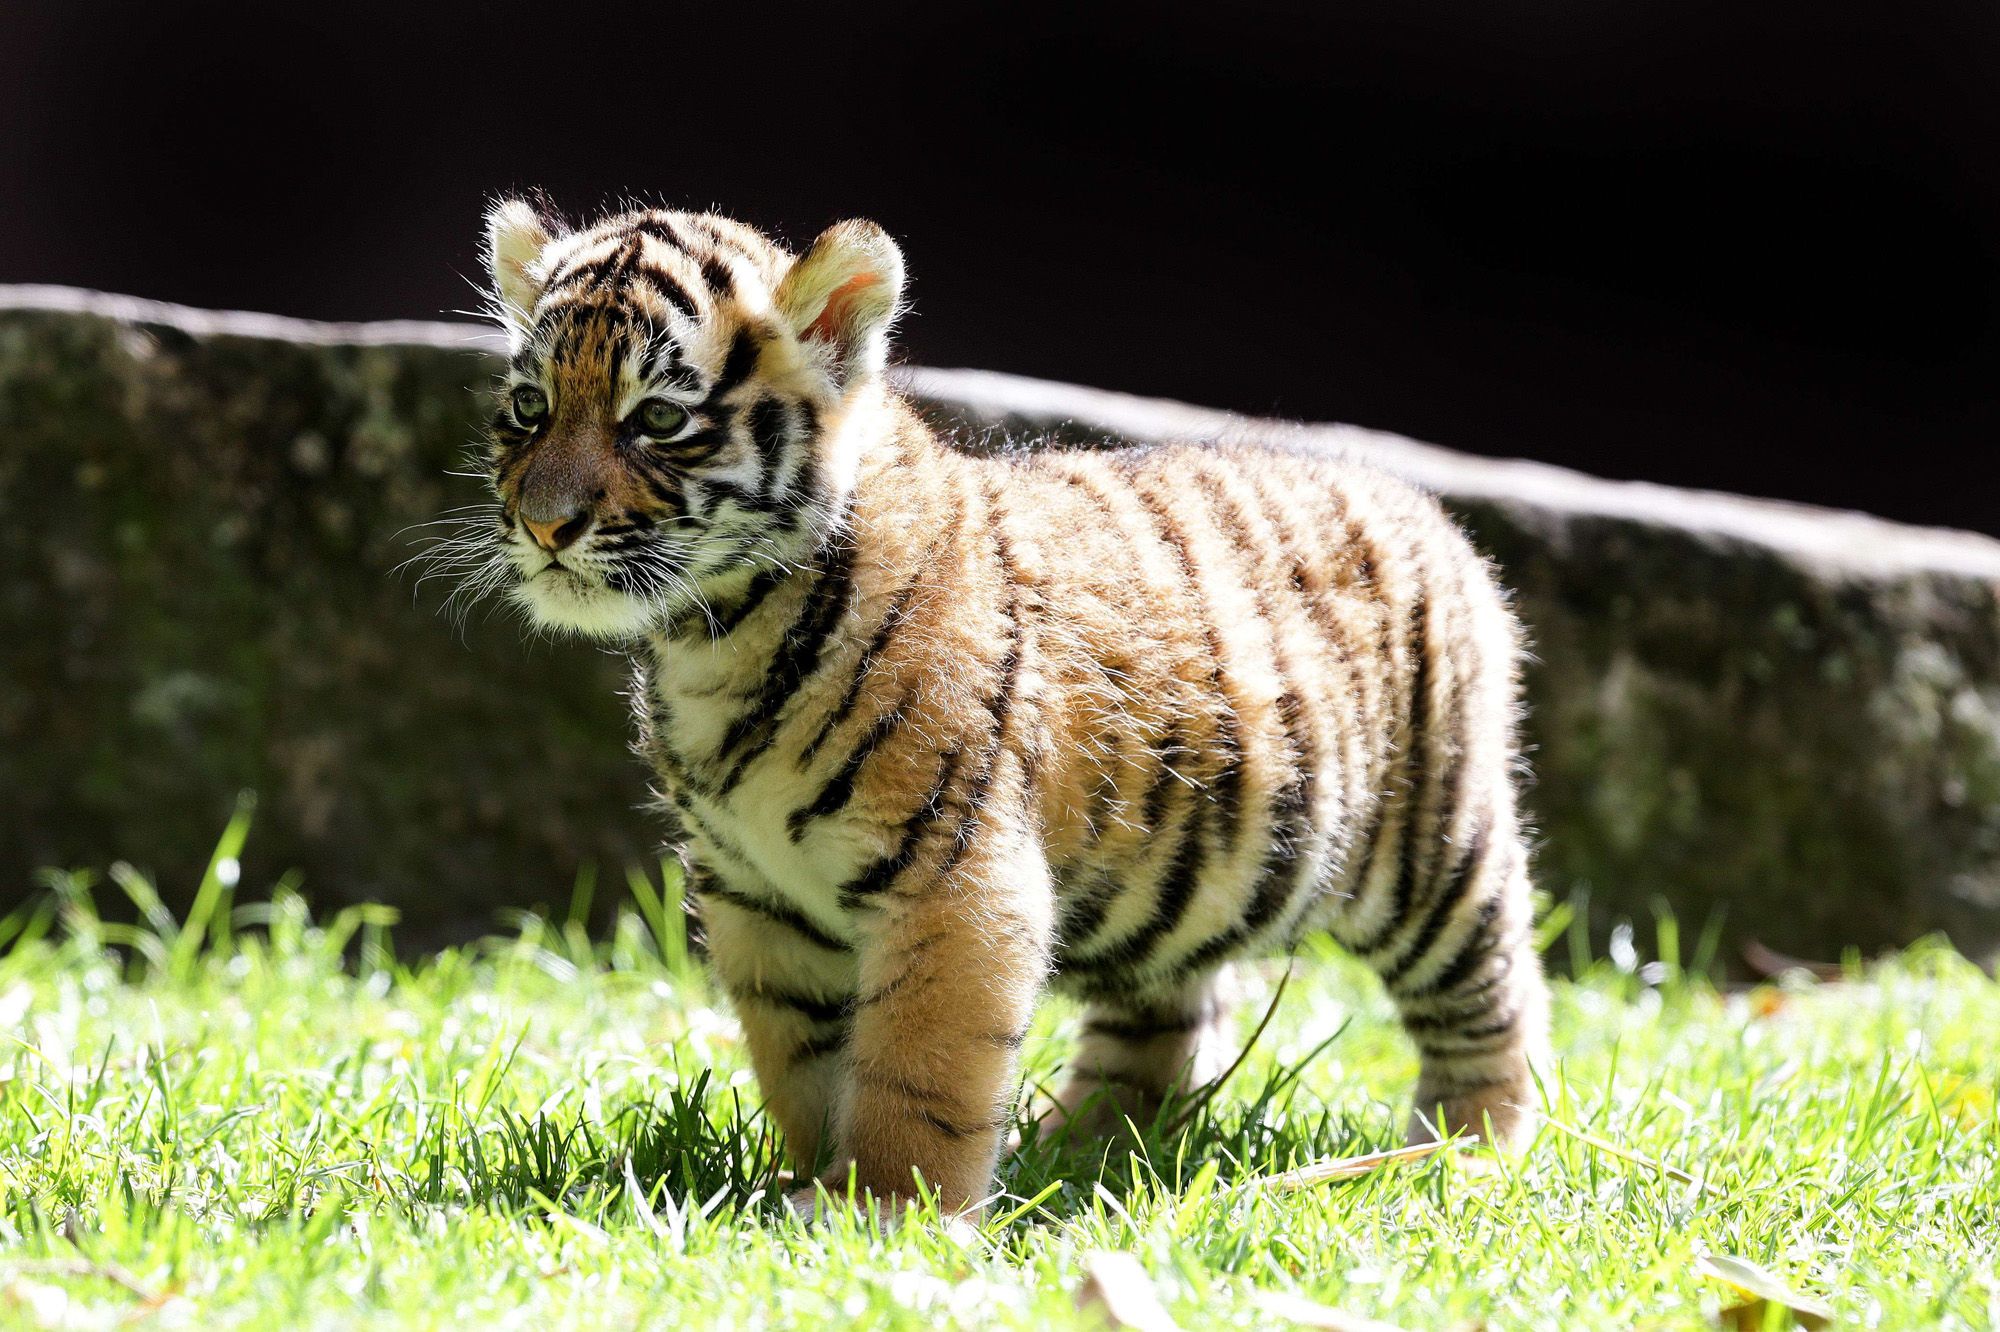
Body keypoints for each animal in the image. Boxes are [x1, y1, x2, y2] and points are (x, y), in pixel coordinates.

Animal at [467, 195, 1550, 1219]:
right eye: (527, 406)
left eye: (656, 420)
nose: (546, 525)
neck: (718, 634)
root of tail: (1432, 513)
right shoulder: (756, 898)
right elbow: (802, 1061)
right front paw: (801, 1186)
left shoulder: (953, 878)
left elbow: (918, 1072)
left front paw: (882, 1212)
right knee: (1169, 1018)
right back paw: (1081, 1148)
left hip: (1429, 853)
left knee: (1494, 991)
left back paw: (1467, 1154)